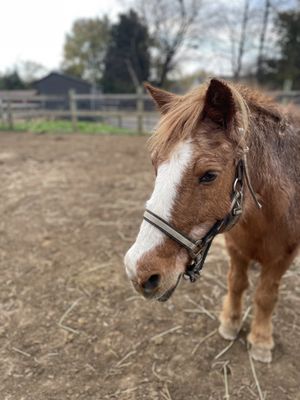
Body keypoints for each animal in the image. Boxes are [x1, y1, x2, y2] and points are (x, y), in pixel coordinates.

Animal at [123, 78, 298, 362]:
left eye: (209, 175)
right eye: (155, 165)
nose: (138, 271)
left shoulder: (284, 256)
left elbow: (265, 296)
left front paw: (261, 340)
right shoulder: (236, 247)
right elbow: (236, 283)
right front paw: (230, 323)